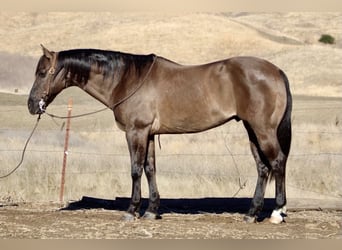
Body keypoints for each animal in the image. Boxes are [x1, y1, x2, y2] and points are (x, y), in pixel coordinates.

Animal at [28, 45, 292, 225]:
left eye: (42, 72)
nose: (32, 105)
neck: (126, 78)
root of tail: (276, 71)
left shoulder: (135, 132)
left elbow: (136, 169)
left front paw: (132, 211)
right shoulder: (149, 134)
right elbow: (150, 169)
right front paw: (151, 210)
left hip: (263, 130)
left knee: (278, 162)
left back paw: (277, 212)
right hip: (251, 130)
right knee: (263, 168)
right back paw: (251, 214)